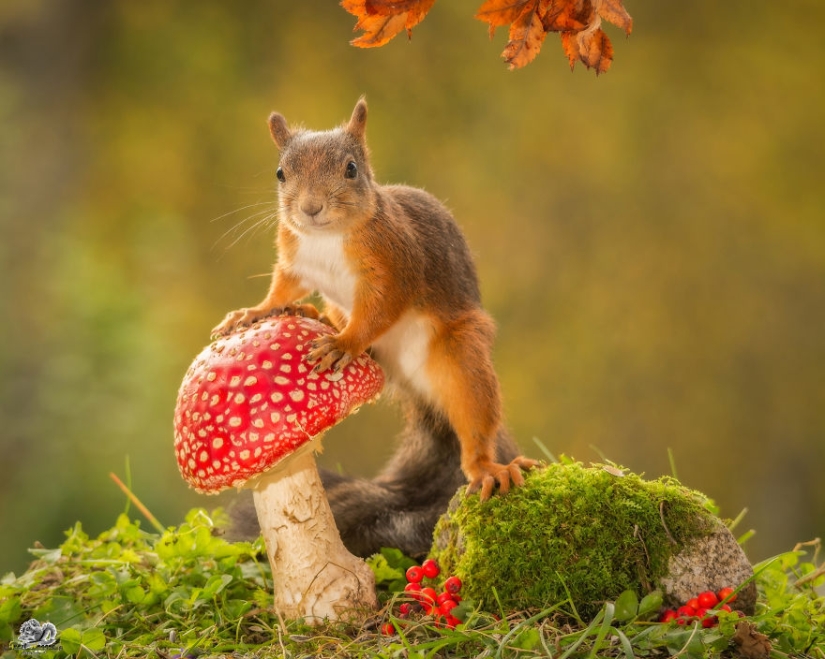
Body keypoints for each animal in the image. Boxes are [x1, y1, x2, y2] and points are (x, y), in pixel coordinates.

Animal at [215, 99, 537, 556]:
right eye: (280, 173)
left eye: (351, 168)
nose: (310, 208)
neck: (326, 238)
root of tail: (413, 385)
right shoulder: (295, 260)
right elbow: (282, 289)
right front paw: (252, 312)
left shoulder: (396, 265)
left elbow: (380, 310)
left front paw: (345, 342)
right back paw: (315, 315)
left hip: (460, 354)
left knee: (472, 411)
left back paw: (487, 467)